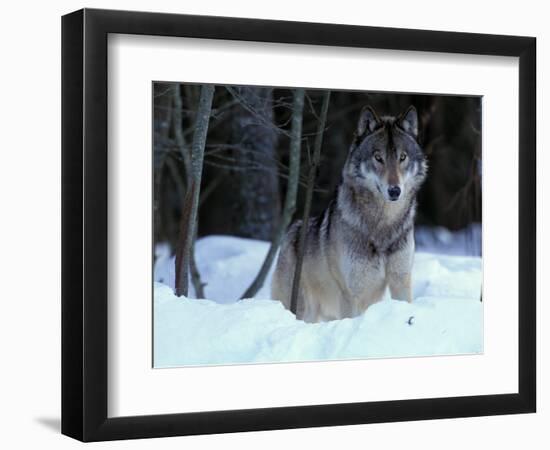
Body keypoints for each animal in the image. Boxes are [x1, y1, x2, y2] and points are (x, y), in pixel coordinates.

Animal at [274, 105, 430, 324]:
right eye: (378, 158)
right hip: (303, 310)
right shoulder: (352, 293)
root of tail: (291, 232)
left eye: (402, 157)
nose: (394, 191)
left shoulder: (401, 280)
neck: (383, 225)